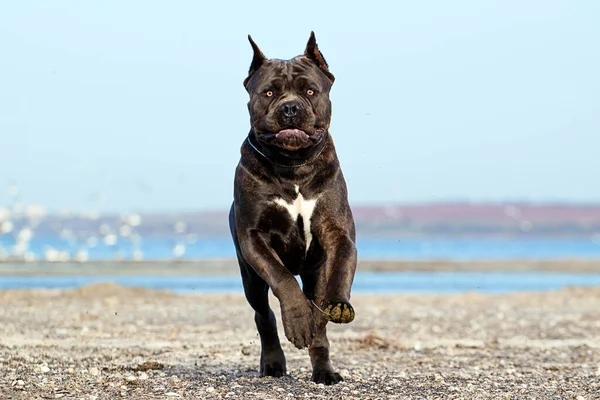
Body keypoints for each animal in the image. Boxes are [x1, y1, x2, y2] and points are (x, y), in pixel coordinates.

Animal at [227, 32, 354, 384]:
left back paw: (324, 370)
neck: (293, 165)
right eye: (269, 92)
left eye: (310, 91)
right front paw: (297, 321)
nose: (291, 107)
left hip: (313, 272)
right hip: (249, 278)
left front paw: (338, 305)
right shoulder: (254, 238)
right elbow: (283, 279)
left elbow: (340, 268)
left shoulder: (337, 231)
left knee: (319, 324)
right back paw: (273, 363)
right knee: (263, 315)